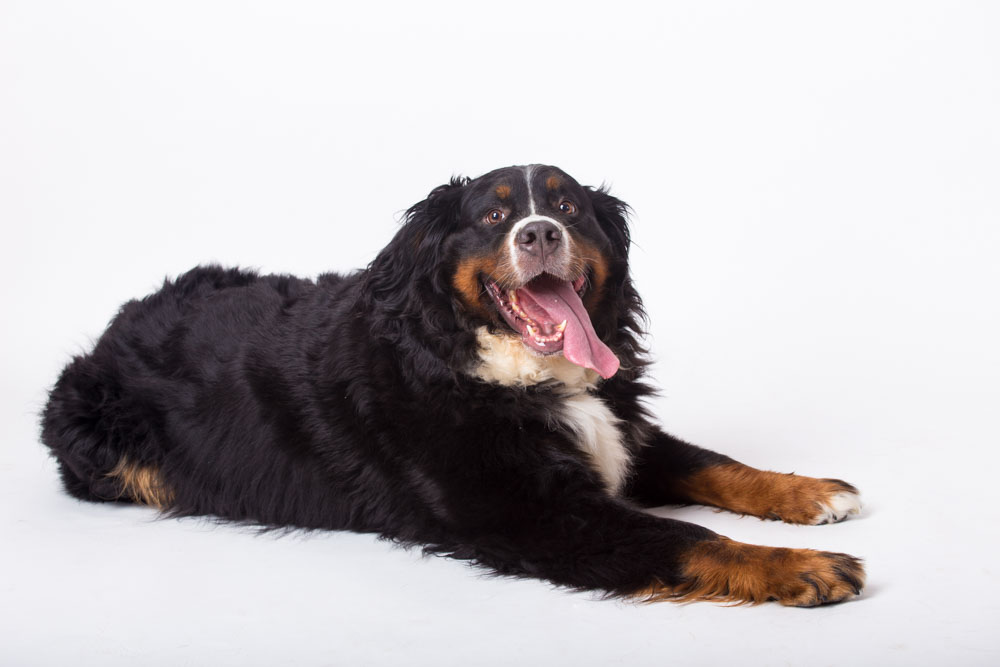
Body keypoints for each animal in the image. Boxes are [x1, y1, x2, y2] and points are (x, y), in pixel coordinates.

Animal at [41, 163, 868, 604]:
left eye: (567, 205)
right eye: (495, 215)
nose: (540, 232)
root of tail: (119, 321)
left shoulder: (618, 429)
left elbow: (717, 465)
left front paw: (810, 493)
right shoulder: (530, 513)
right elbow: (685, 535)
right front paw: (801, 566)